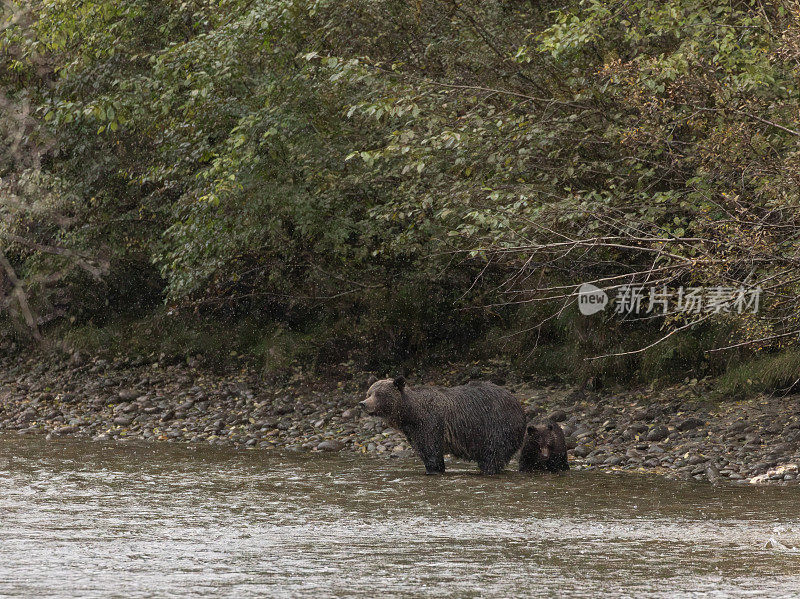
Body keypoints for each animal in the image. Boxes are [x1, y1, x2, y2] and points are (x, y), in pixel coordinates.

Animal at [360, 378, 524, 476]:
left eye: (379, 394)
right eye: (369, 393)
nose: (363, 403)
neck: (410, 414)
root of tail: (519, 406)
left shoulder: (429, 423)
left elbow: (431, 451)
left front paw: (434, 470)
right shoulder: (413, 432)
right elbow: (423, 451)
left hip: (496, 427)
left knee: (492, 455)